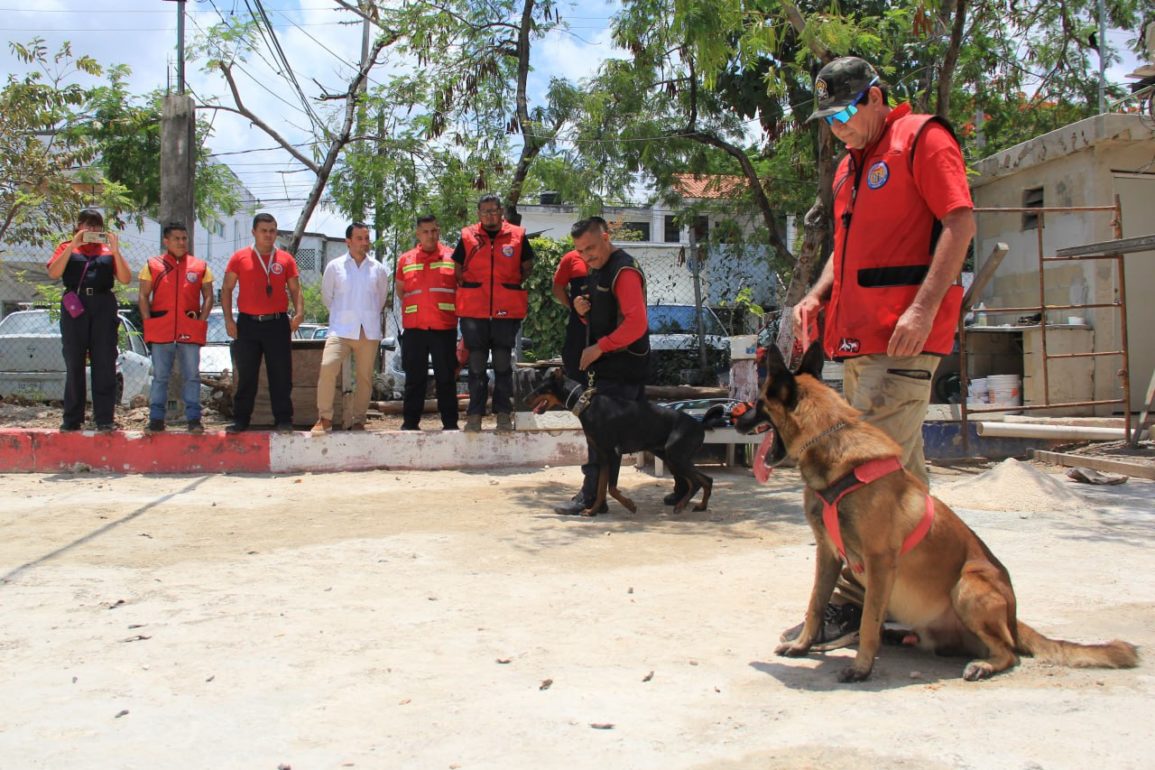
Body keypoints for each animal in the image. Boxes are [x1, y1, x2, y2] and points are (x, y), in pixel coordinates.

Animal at [531, 369, 711, 517]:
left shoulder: (614, 453)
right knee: (706, 480)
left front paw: (630, 505)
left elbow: (611, 488)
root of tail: (700, 425)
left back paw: (681, 505)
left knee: (697, 481)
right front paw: (592, 511)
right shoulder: (603, 457)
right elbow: (601, 489)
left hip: (675, 456)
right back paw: (701, 506)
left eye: (539, 390)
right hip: (669, 456)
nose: (526, 400)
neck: (586, 404)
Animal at [734, 341, 1141, 678]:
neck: (834, 451)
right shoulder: (829, 554)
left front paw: (862, 667)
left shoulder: (880, 561)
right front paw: (803, 644)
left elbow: (867, 621)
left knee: (1009, 652)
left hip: (969, 583)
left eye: (759, 404)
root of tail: (1014, 619)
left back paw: (983, 665)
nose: (732, 418)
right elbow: (815, 603)